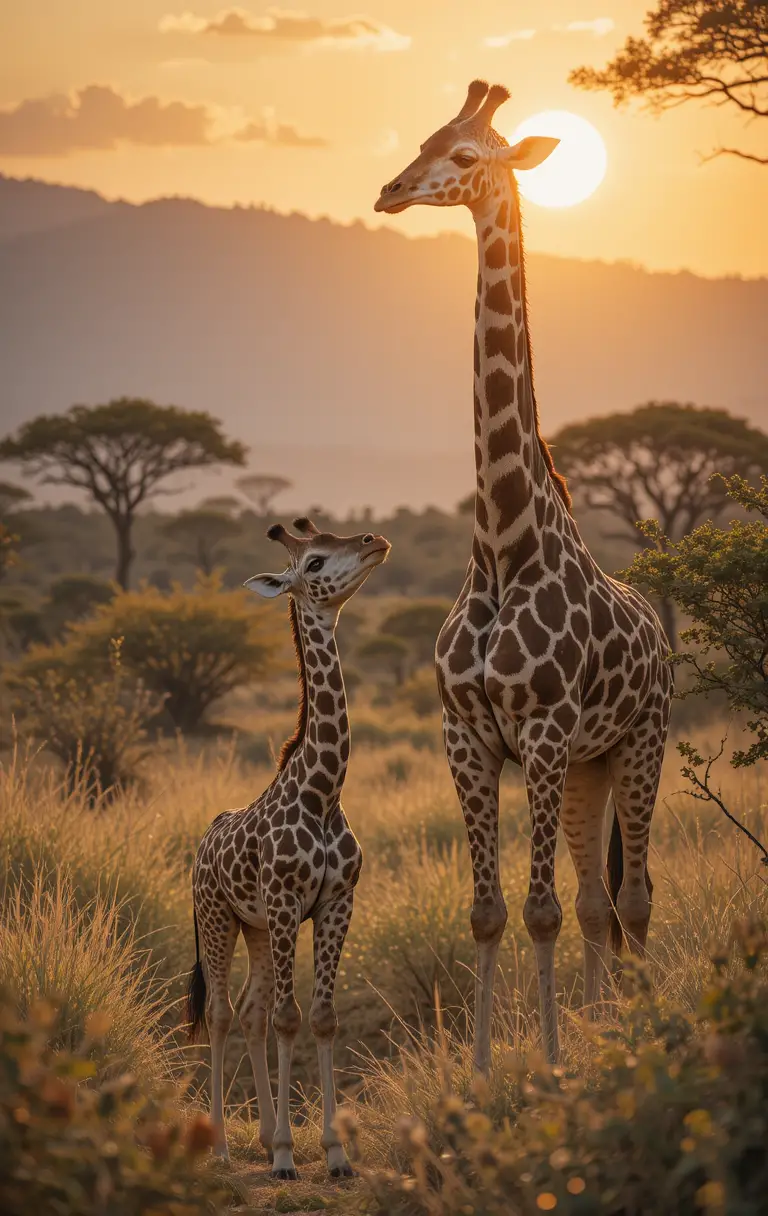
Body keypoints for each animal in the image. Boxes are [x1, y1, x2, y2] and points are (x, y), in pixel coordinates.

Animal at [185, 519, 390, 1176]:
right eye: (316, 560)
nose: (376, 541)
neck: (322, 792)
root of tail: (204, 840)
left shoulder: (336, 903)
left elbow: (320, 1018)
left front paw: (333, 1153)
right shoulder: (283, 903)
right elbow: (288, 1017)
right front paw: (283, 1157)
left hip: (252, 927)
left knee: (250, 1011)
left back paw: (257, 1136)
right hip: (219, 917)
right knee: (224, 1012)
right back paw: (225, 1148)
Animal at [374, 81, 672, 1067]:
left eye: (467, 156)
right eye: (425, 139)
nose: (391, 191)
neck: (503, 547)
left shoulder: (539, 731)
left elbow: (538, 911)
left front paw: (545, 1061)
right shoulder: (467, 735)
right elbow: (491, 912)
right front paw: (478, 1068)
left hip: (638, 744)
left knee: (632, 897)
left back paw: (628, 1028)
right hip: (586, 766)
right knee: (595, 902)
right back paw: (600, 1021)